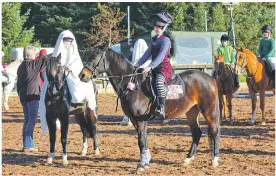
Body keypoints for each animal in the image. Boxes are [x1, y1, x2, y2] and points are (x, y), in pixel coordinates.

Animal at [78, 47, 221, 172]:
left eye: (95, 57)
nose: (82, 75)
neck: (132, 84)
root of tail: (209, 78)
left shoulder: (140, 119)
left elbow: (141, 141)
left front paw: (141, 165)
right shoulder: (135, 120)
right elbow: (144, 140)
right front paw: (146, 161)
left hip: (208, 110)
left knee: (214, 131)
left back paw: (214, 160)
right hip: (191, 111)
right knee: (197, 133)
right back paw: (188, 159)